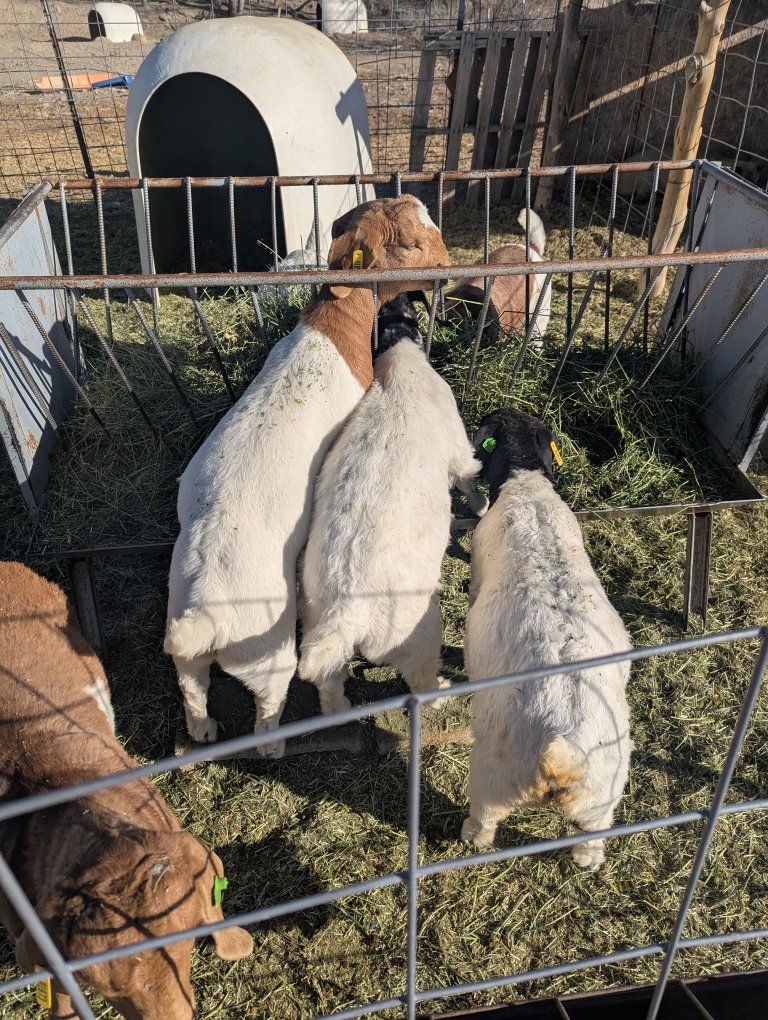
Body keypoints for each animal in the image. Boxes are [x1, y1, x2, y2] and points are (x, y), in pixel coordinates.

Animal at [165, 196, 450, 758]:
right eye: (411, 243)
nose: (450, 267)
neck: (334, 322)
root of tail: (204, 616)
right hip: (269, 655)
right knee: (268, 709)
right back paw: (279, 744)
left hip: (183, 645)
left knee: (192, 689)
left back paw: (204, 731)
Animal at [299, 293, 487, 713]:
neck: (397, 351)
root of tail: (346, 613)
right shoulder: (458, 449)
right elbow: (469, 477)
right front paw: (482, 505)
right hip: (416, 638)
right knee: (420, 680)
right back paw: (441, 694)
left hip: (317, 627)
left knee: (328, 685)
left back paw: (340, 711)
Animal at [461, 409, 632, 870]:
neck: (526, 483)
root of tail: (562, 753)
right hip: (603, 792)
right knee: (594, 835)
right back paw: (588, 860)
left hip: (494, 776)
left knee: (484, 817)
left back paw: (470, 840)